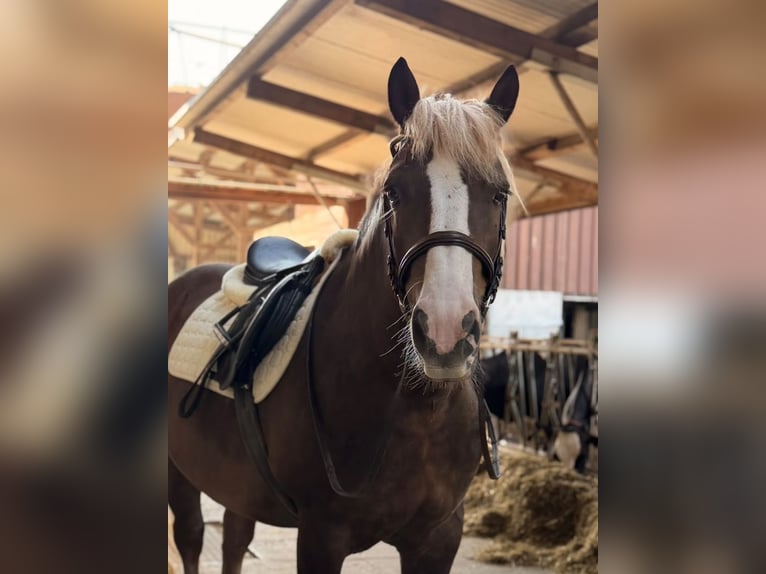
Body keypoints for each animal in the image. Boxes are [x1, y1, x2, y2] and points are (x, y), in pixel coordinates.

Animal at [168, 57, 521, 574]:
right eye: (394, 191)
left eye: (499, 194)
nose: (444, 331)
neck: (414, 411)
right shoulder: (321, 537)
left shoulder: (438, 538)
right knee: (193, 537)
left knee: (233, 539)